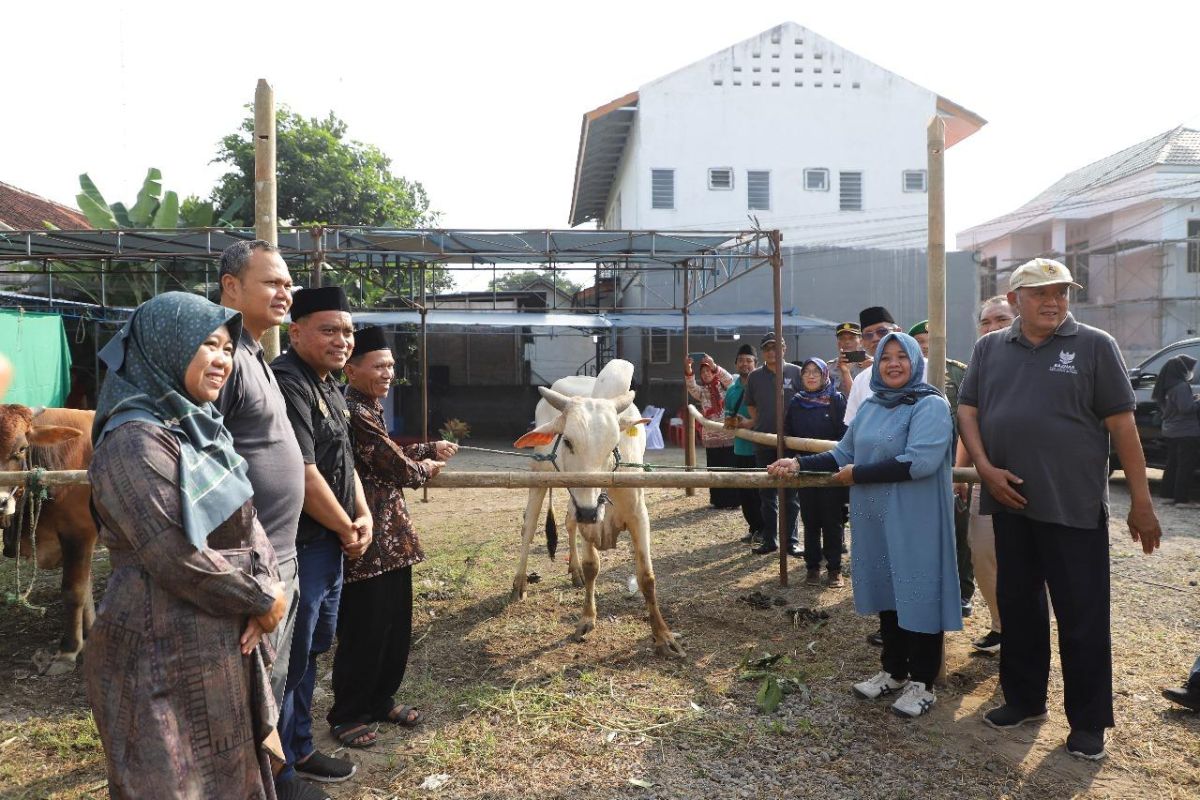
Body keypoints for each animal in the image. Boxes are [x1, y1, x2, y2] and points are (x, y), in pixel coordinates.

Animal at [0, 407, 96, 676]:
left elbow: (74, 591)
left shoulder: (80, 532)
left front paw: (68, 650)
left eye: (22, 448)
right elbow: (86, 588)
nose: (0, 503)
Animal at [513, 362, 686, 657]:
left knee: (568, 522)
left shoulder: (638, 516)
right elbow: (593, 565)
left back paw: (574, 572)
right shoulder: (587, 515)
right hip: (540, 475)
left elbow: (647, 577)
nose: (589, 512)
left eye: (612, 446)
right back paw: (520, 582)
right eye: (568, 441)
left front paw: (663, 636)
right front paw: (587, 619)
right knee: (530, 523)